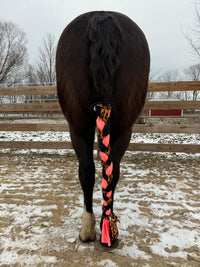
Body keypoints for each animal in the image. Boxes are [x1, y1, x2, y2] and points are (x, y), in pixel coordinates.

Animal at [55, 11, 150, 248]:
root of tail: (102, 17)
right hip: (122, 129)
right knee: (111, 170)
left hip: (79, 128)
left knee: (87, 170)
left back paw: (87, 229)